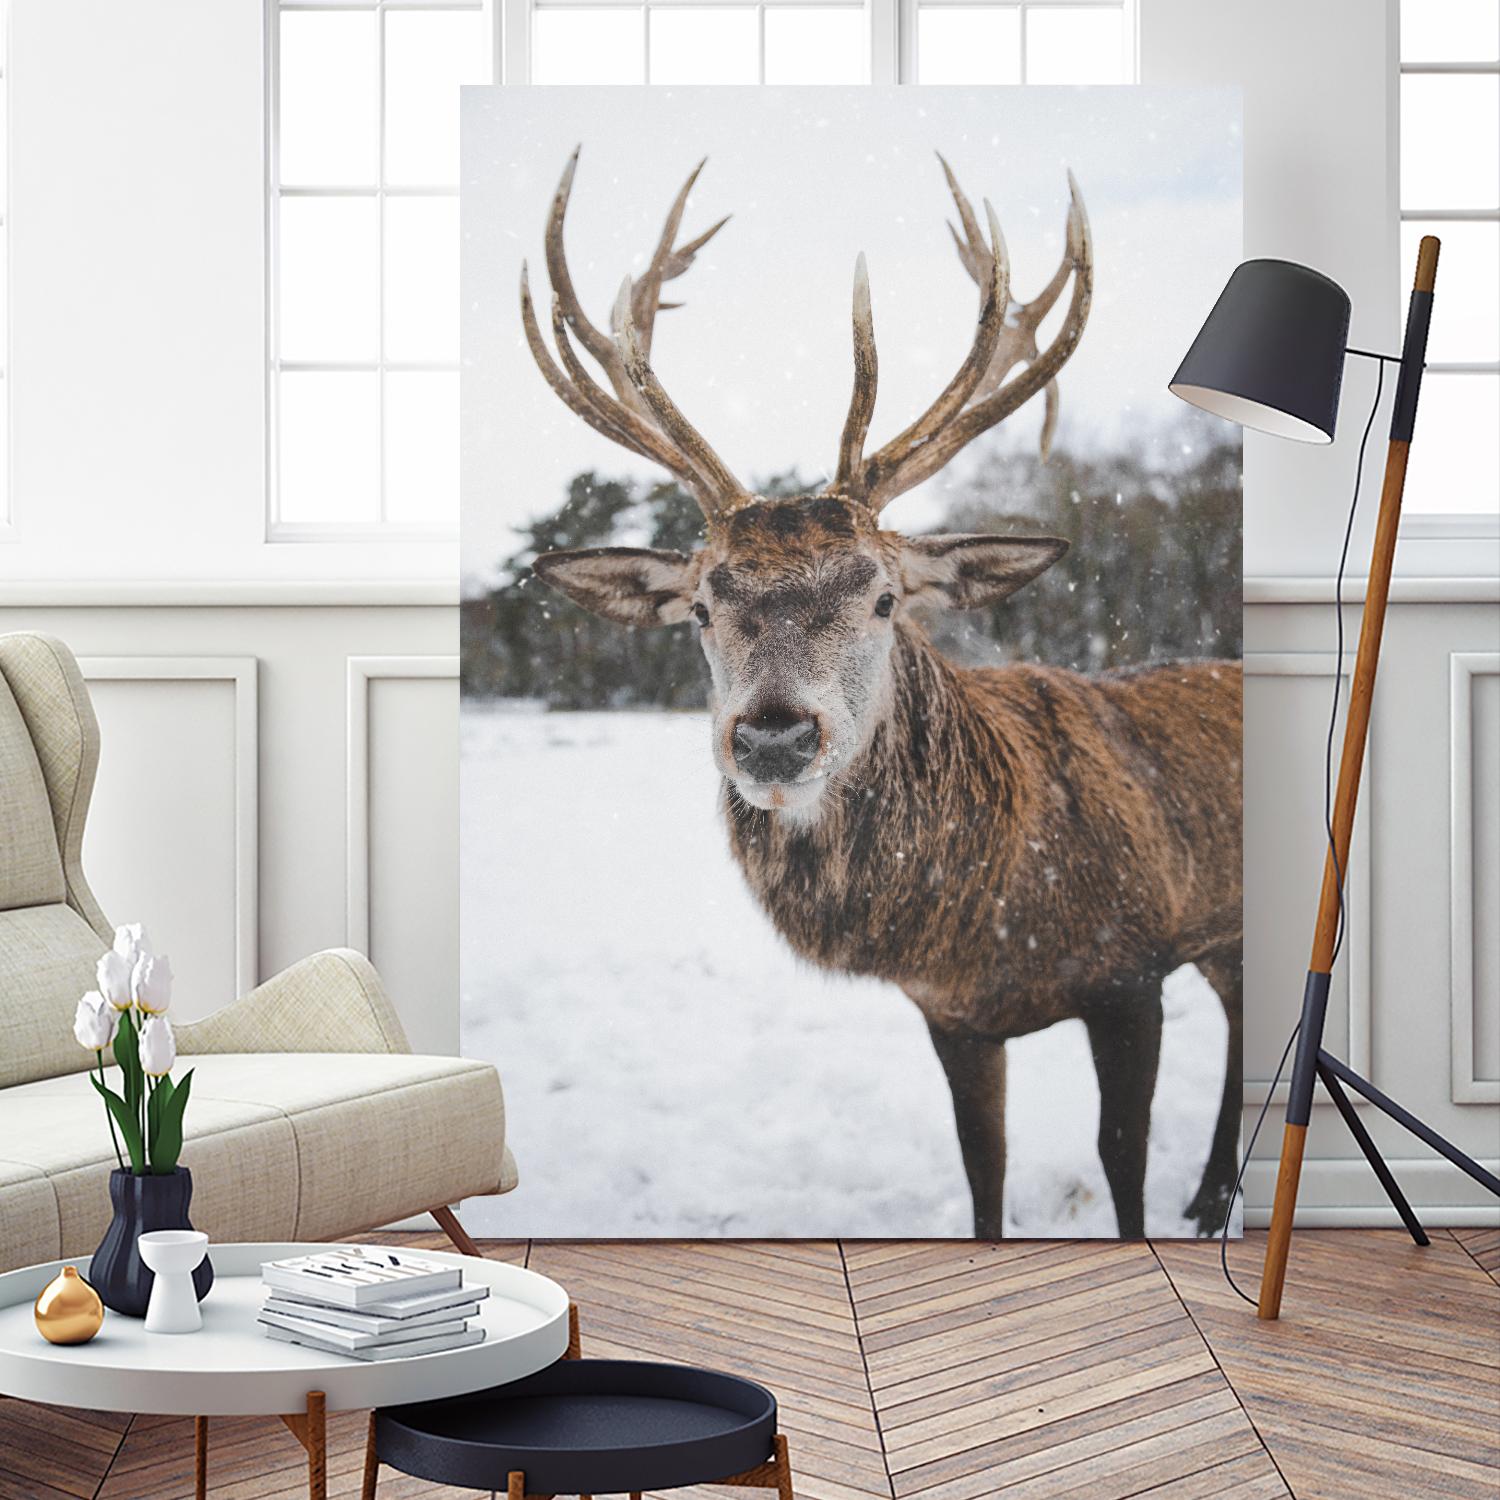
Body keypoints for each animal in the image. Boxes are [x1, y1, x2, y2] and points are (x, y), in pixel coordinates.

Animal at [518, 148, 1243, 1239]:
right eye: (701, 607)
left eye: (885, 596)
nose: (774, 738)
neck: (992, 920)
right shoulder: (951, 1016)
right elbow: (983, 1169)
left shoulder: (1133, 969)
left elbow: (1121, 1165)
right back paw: (1211, 1191)